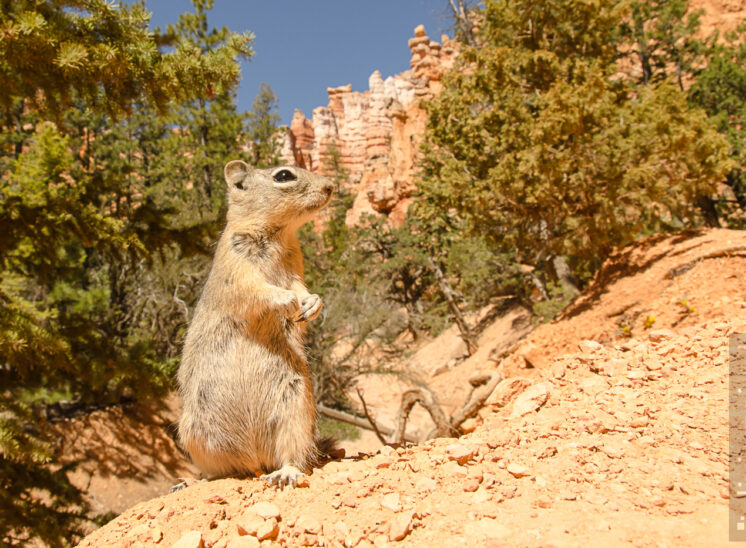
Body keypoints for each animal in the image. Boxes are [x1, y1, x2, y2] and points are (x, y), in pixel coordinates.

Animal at [176, 159, 332, 488]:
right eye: (283, 175)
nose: (330, 186)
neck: (278, 234)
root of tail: (255, 457)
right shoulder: (237, 266)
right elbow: (257, 289)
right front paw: (285, 300)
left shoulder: (295, 268)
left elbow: (301, 288)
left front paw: (312, 304)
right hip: (195, 434)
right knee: (220, 470)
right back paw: (194, 480)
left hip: (296, 410)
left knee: (292, 453)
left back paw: (286, 472)